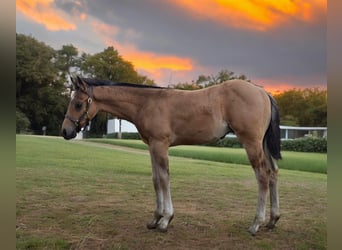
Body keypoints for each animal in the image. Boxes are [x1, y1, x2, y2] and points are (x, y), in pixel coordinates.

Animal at [60, 75, 280, 234]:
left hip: (251, 142)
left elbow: (164, 179)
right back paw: (272, 220)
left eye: (78, 104)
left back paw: (255, 224)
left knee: (262, 176)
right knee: (273, 173)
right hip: (263, 145)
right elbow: (156, 179)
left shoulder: (160, 145)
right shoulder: (152, 146)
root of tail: (262, 92)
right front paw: (155, 218)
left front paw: (166, 219)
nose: (65, 131)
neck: (147, 103)